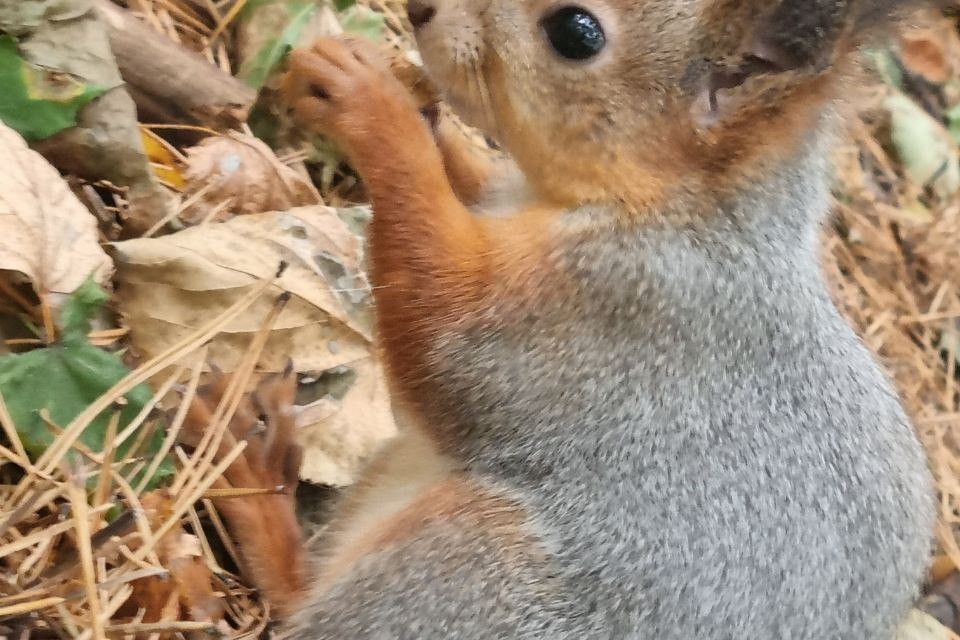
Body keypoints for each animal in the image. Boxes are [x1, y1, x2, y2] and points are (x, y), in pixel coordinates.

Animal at [201, 0, 936, 636]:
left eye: (575, 32)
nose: (419, 10)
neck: (688, 214)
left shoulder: (605, 311)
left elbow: (441, 335)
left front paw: (375, 106)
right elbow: (475, 181)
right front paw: (412, 99)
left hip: (473, 569)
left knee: (303, 609)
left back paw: (253, 484)